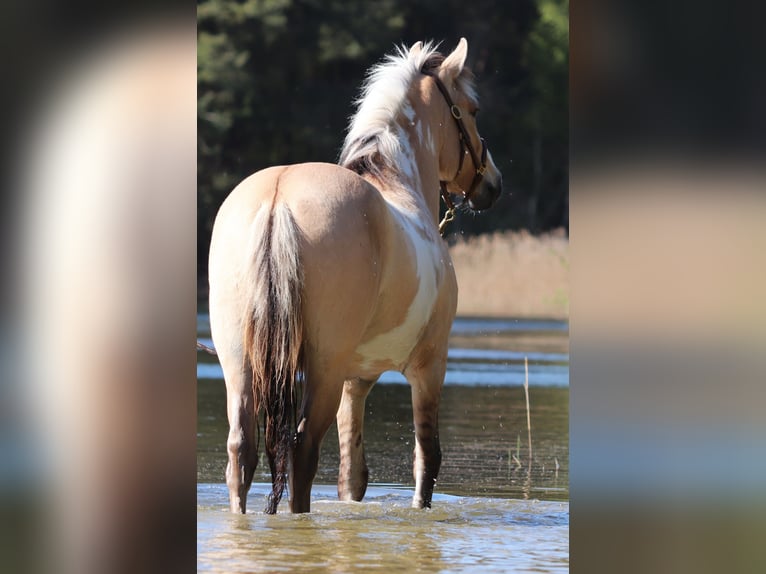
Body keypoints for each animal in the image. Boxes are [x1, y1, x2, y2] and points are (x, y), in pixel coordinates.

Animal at [208, 38, 503, 514]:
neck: (398, 183)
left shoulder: (356, 379)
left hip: (239, 362)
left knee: (242, 451)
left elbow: (352, 475)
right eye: (472, 110)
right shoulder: (429, 366)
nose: (492, 185)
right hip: (323, 368)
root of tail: (278, 198)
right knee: (302, 451)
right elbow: (426, 460)